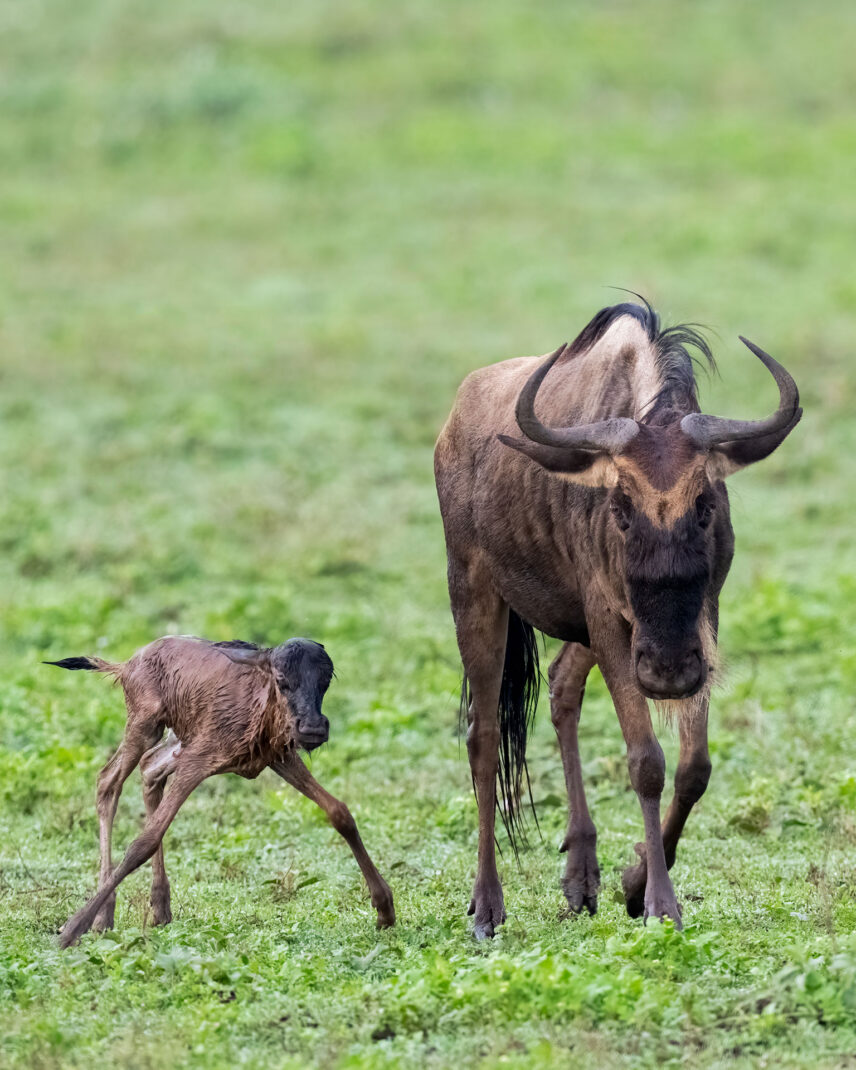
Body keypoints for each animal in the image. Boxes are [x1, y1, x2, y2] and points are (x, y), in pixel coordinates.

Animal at [434, 300, 801, 938]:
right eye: (621, 510)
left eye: (706, 506)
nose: (668, 673)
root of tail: (454, 424)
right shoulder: (612, 623)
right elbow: (646, 760)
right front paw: (660, 903)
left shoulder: (702, 621)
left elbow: (695, 766)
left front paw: (633, 884)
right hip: (475, 592)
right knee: (483, 735)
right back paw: (486, 907)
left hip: (585, 630)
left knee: (560, 687)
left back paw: (581, 878)